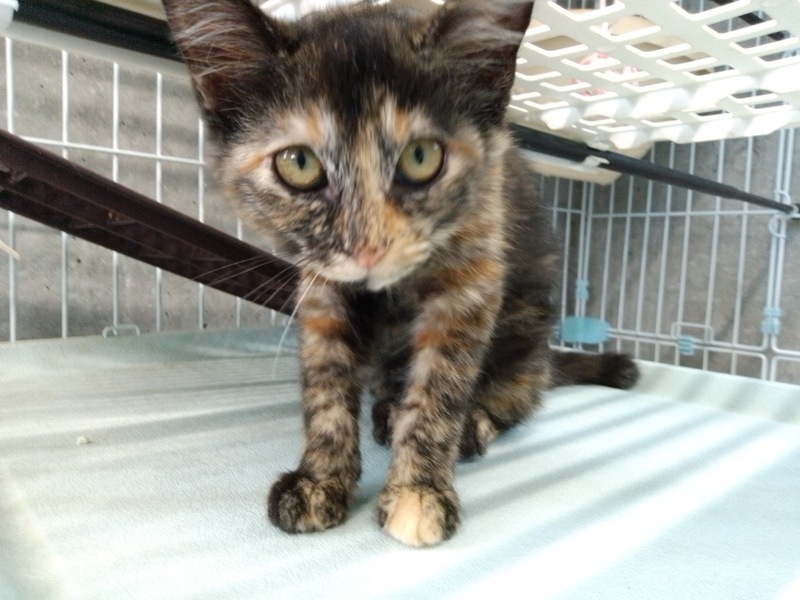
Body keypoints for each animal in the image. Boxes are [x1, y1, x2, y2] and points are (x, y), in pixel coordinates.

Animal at [162, 0, 639, 547]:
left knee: (518, 397)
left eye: (421, 157)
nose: (369, 248)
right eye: (299, 163)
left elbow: (440, 389)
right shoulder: (321, 285)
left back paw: (471, 425)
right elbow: (325, 383)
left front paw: (419, 491)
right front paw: (319, 479)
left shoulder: (472, 272)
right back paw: (387, 409)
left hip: (527, 328)